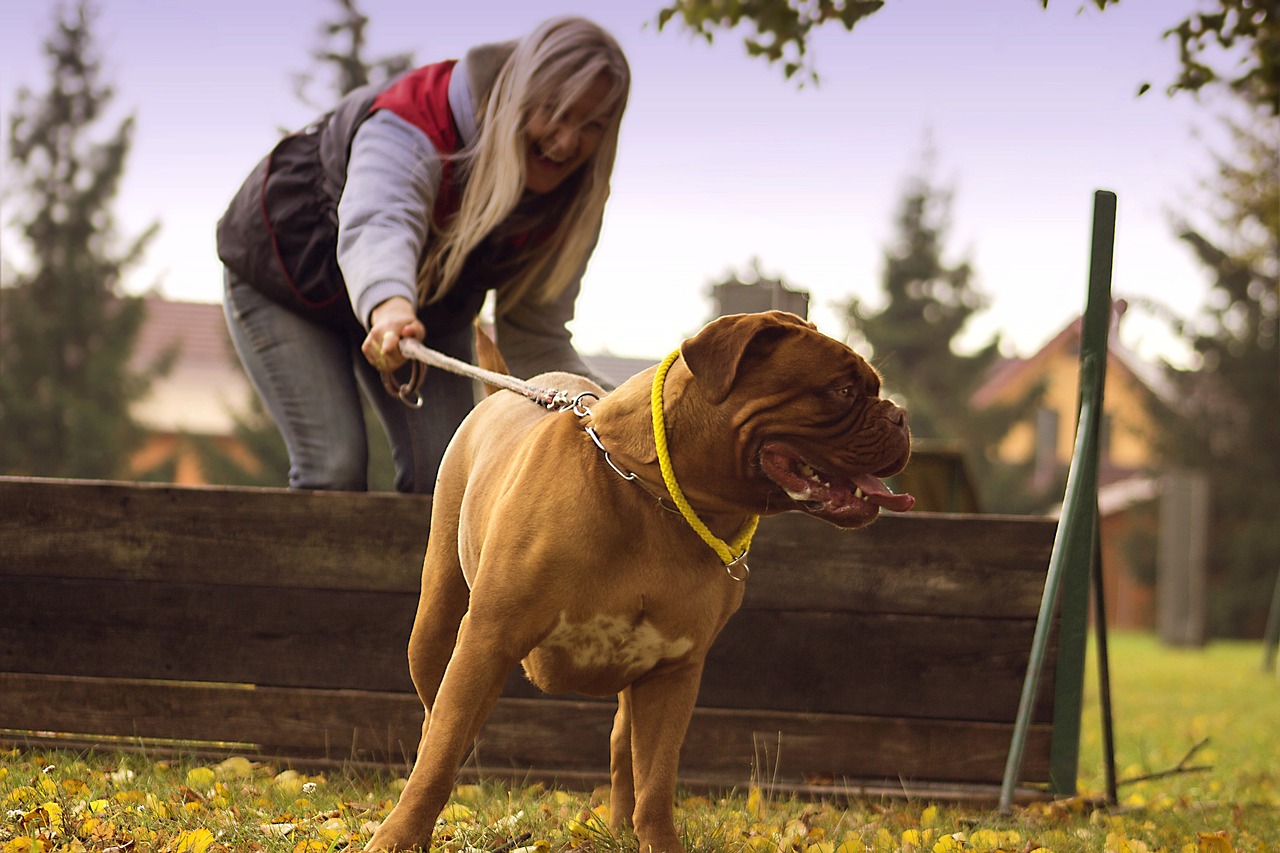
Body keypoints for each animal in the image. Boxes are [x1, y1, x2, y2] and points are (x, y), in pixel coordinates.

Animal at [366, 312, 916, 850]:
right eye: (842, 391)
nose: (900, 416)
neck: (655, 497)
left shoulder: (673, 672)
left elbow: (656, 778)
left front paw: (655, 839)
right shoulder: (487, 641)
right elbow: (441, 754)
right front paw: (396, 838)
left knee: (620, 746)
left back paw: (618, 828)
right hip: (435, 625)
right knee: (434, 717)